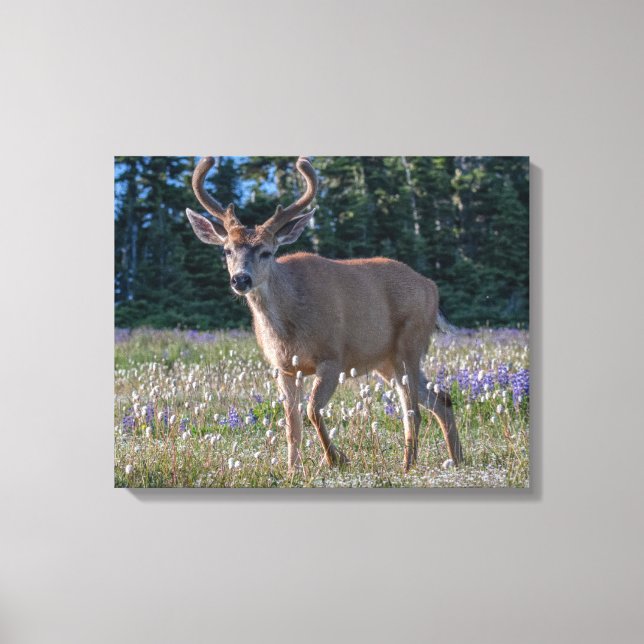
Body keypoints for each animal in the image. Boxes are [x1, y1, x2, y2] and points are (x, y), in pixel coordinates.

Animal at [185, 156, 464, 474]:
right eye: (227, 250)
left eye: (266, 251)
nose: (240, 279)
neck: (289, 326)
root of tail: (432, 287)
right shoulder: (283, 368)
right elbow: (292, 424)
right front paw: (293, 470)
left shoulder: (333, 358)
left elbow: (311, 410)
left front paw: (335, 459)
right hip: (386, 361)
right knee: (442, 398)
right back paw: (456, 458)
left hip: (410, 342)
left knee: (412, 411)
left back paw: (408, 465)